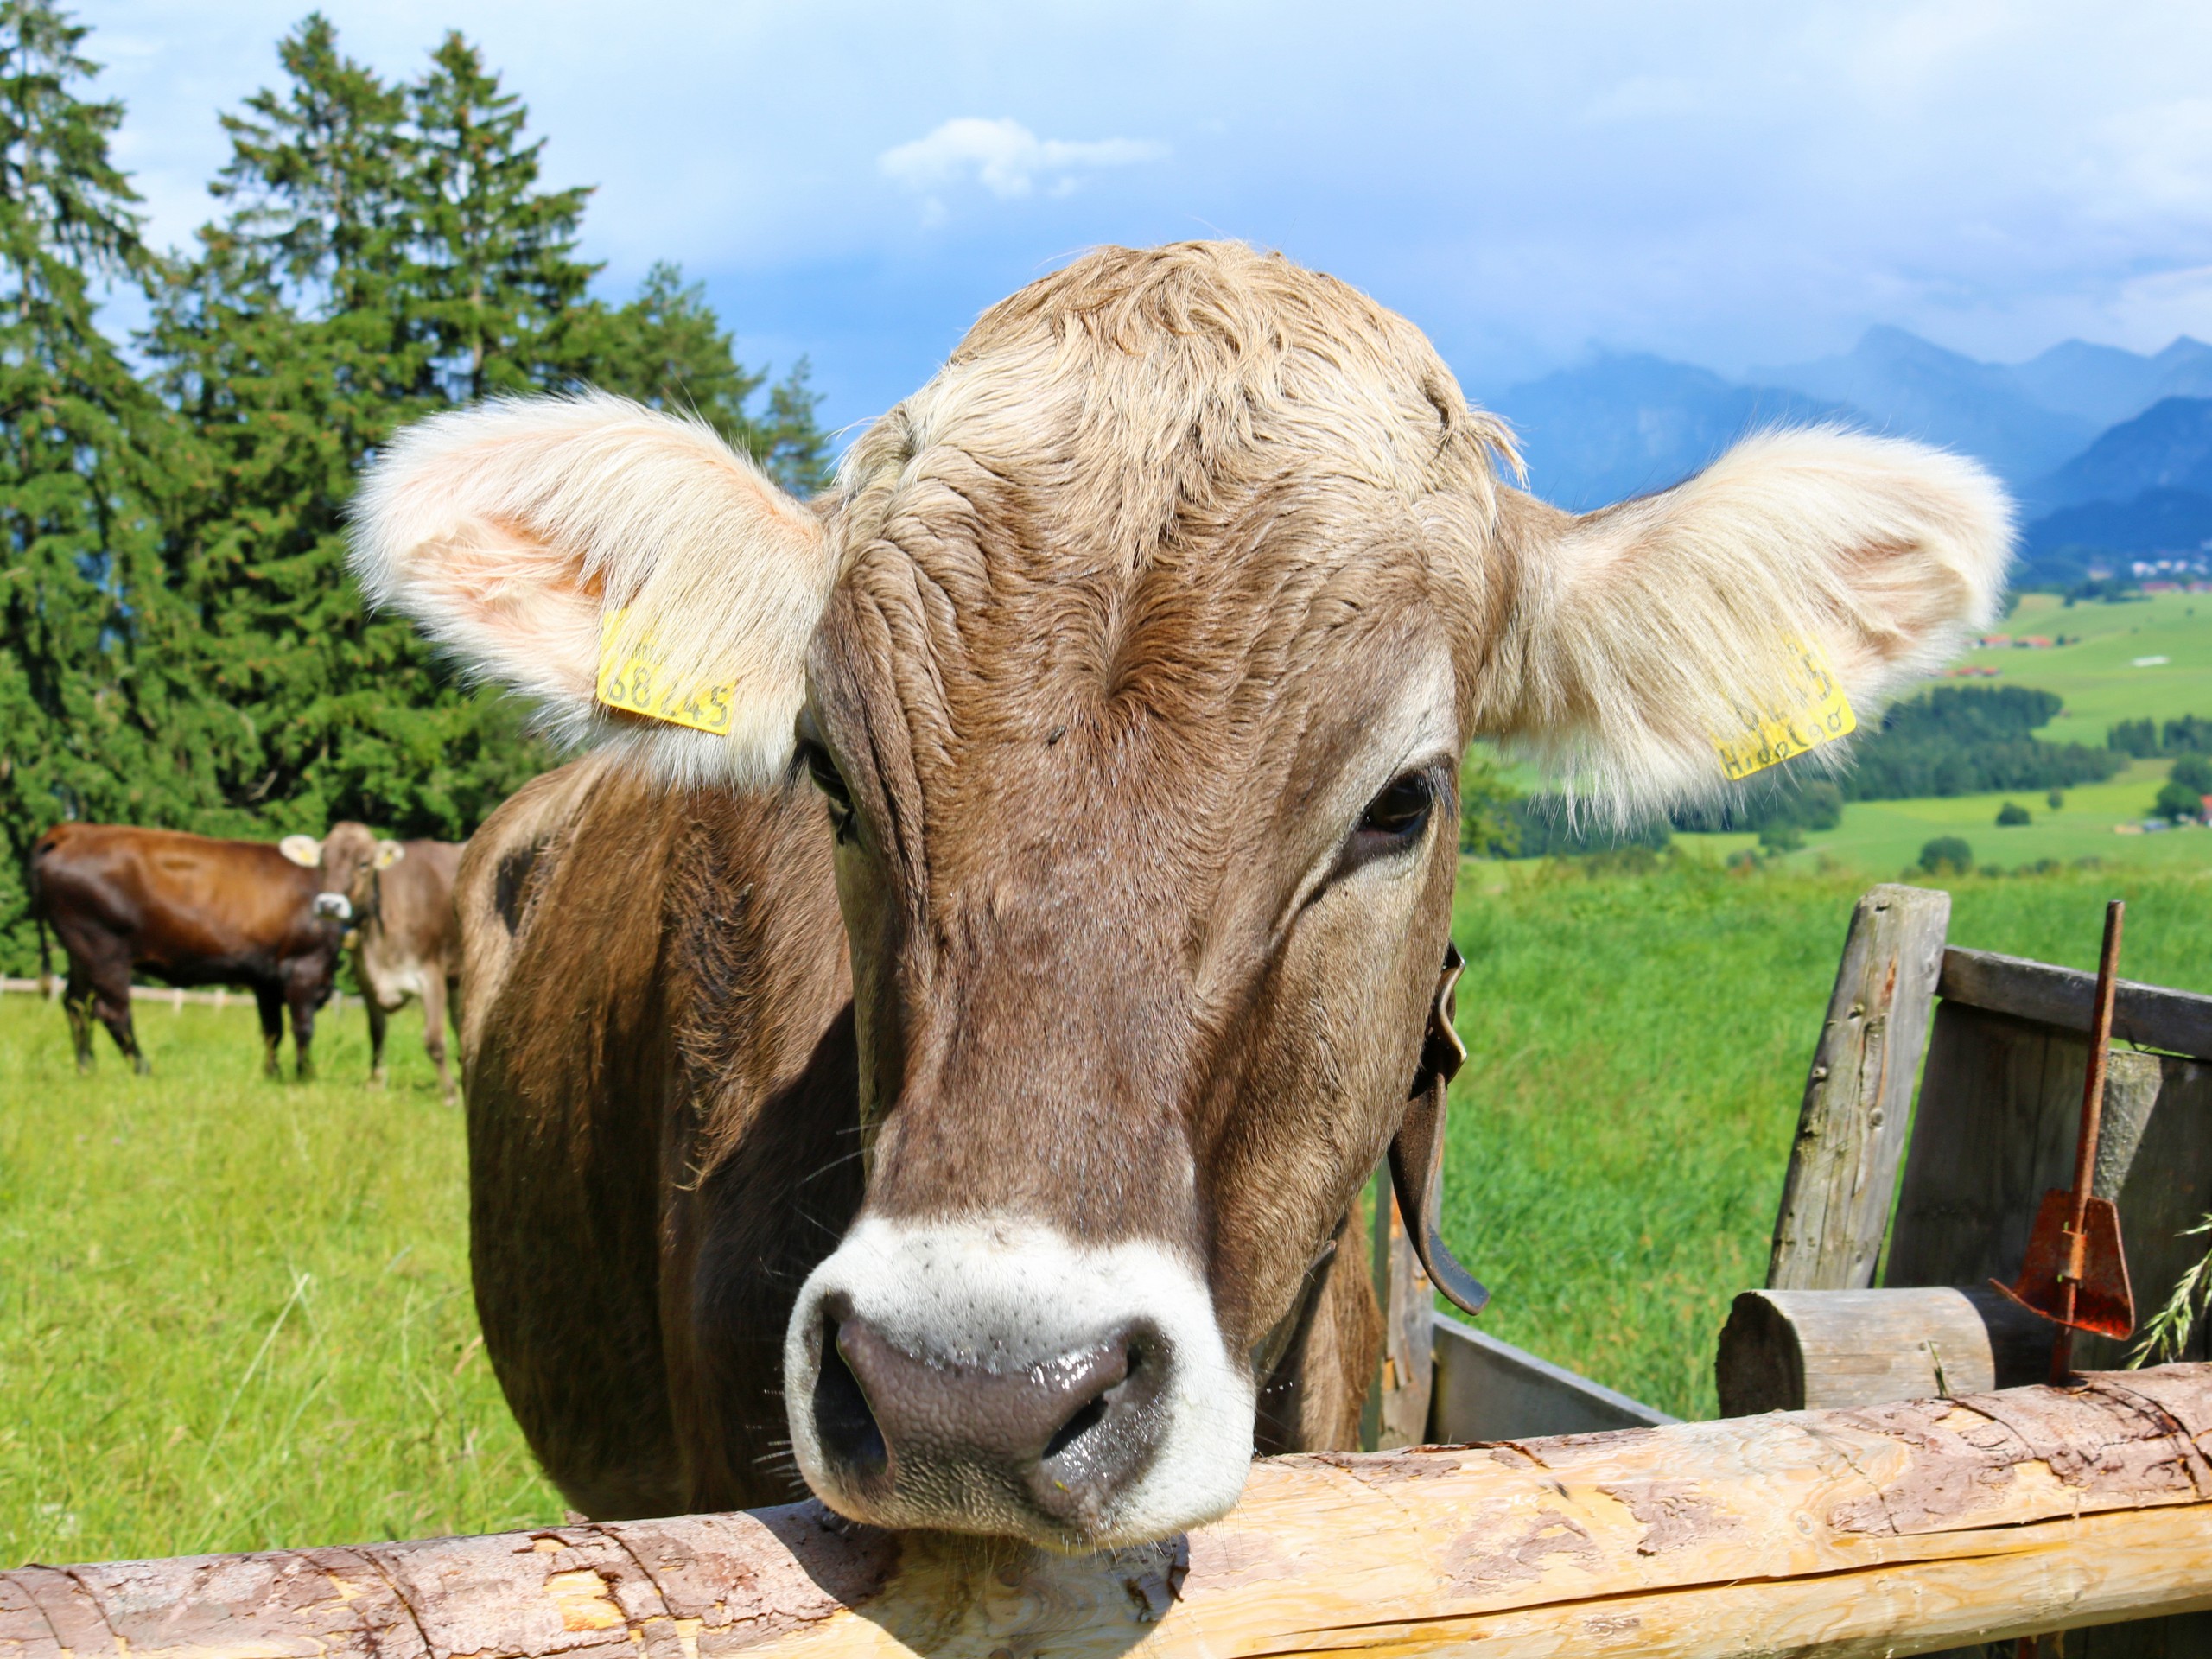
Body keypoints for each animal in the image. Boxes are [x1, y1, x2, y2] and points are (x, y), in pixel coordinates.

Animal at [31, 827, 345, 1084]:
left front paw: (273, 1074)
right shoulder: (305, 965)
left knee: (76, 1005)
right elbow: (302, 1026)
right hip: (103, 948)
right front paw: (306, 1075)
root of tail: (72, 832)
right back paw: (144, 1070)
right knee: (111, 1012)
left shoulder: (266, 981)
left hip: (80, 953)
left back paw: (87, 1069)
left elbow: (272, 1030)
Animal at [281, 827, 467, 1110]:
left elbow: (434, 1040)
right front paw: (376, 1083)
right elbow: (376, 1033)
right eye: (323, 862)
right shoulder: (366, 980)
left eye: (364, 864)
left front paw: (449, 1094)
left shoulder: (430, 974)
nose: (329, 905)